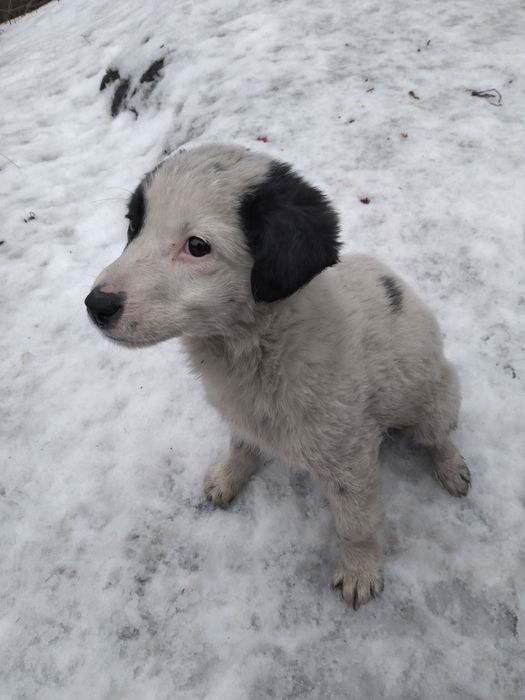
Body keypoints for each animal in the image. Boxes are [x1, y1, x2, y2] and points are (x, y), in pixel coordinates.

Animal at [85, 144, 471, 608]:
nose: (96, 305)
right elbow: (241, 444)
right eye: (133, 225)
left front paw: (360, 571)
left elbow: (356, 522)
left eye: (197, 246)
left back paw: (451, 468)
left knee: (438, 436)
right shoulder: (242, 412)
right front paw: (230, 475)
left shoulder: (350, 453)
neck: (259, 345)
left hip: (436, 397)